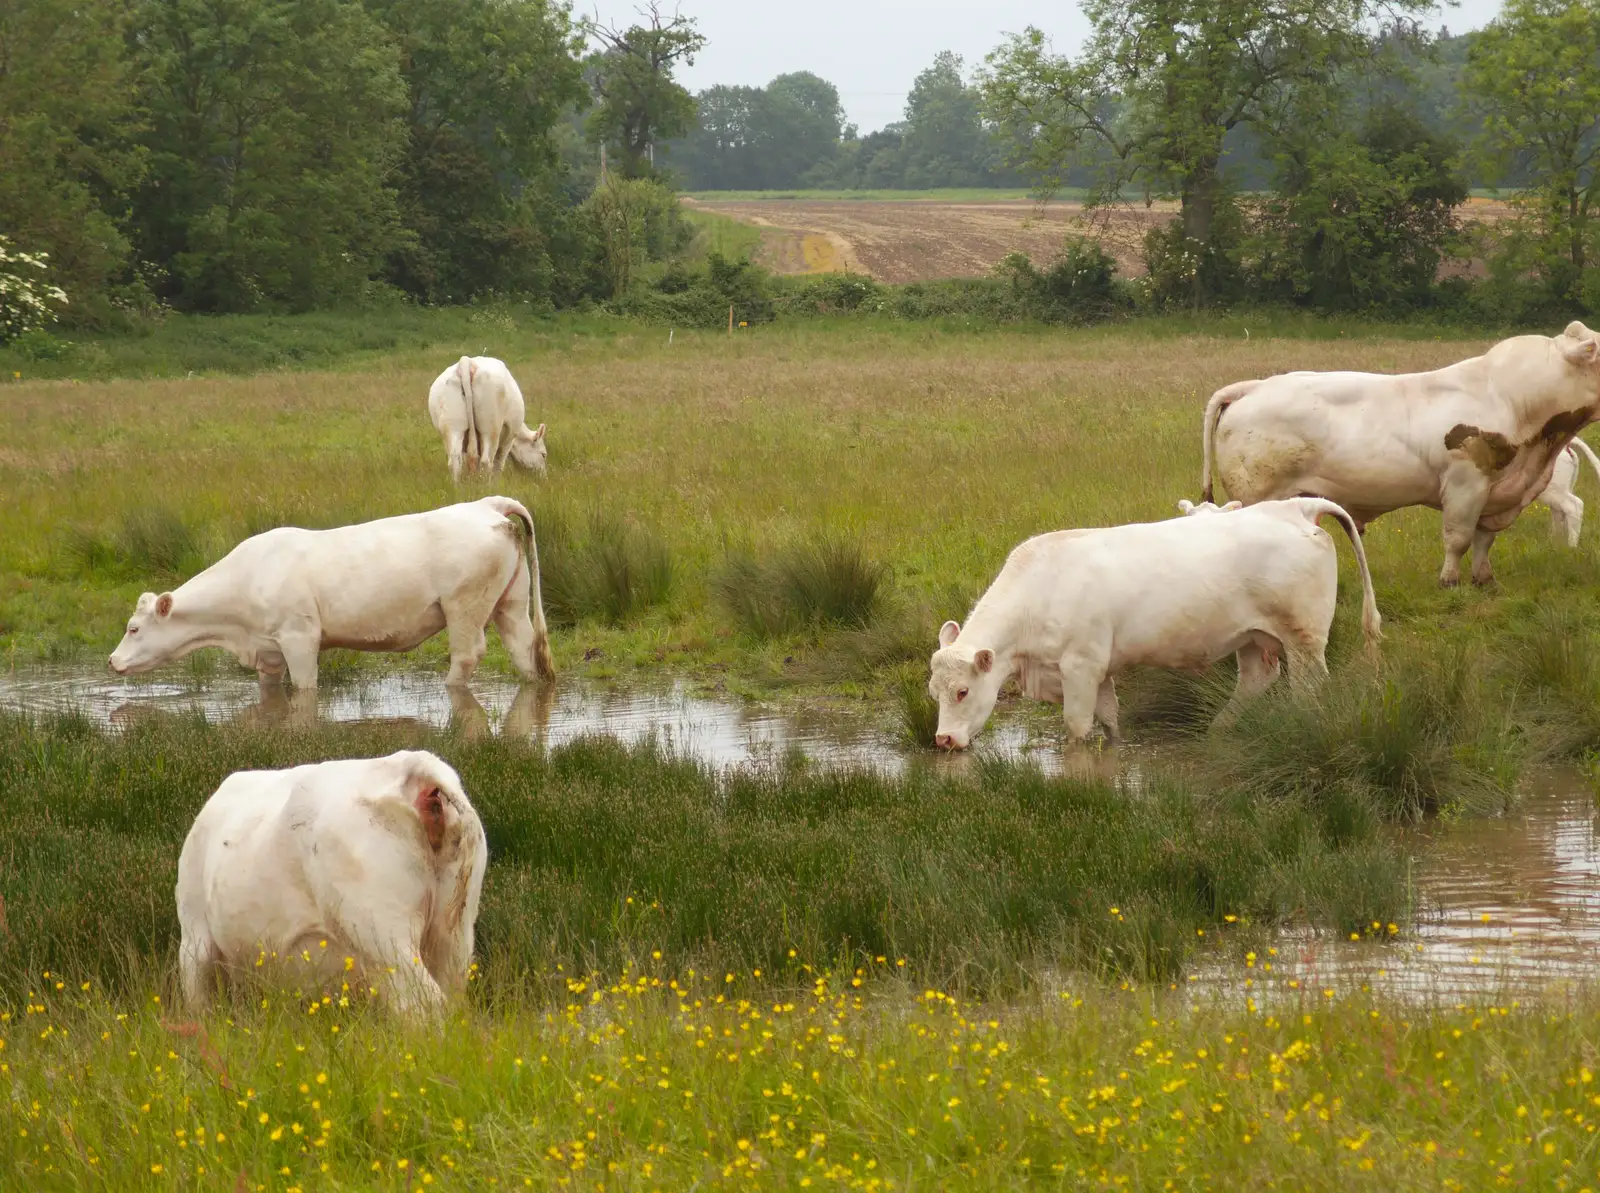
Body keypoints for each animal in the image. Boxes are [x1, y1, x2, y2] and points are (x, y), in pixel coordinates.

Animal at [425, 353, 550, 482]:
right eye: (543, 454)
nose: (544, 478)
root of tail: (467, 361)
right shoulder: (508, 441)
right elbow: (498, 464)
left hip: (453, 427)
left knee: (455, 461)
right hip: (491, 428)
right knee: (486, 461)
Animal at [1203, 318, 1600, 582]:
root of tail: (1255, 387)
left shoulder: (1499, 492)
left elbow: (1484, 540)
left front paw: (1483, 579)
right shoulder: (1465, 483)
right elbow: (1458, 538)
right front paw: (1449, 581)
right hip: (1256, 495)